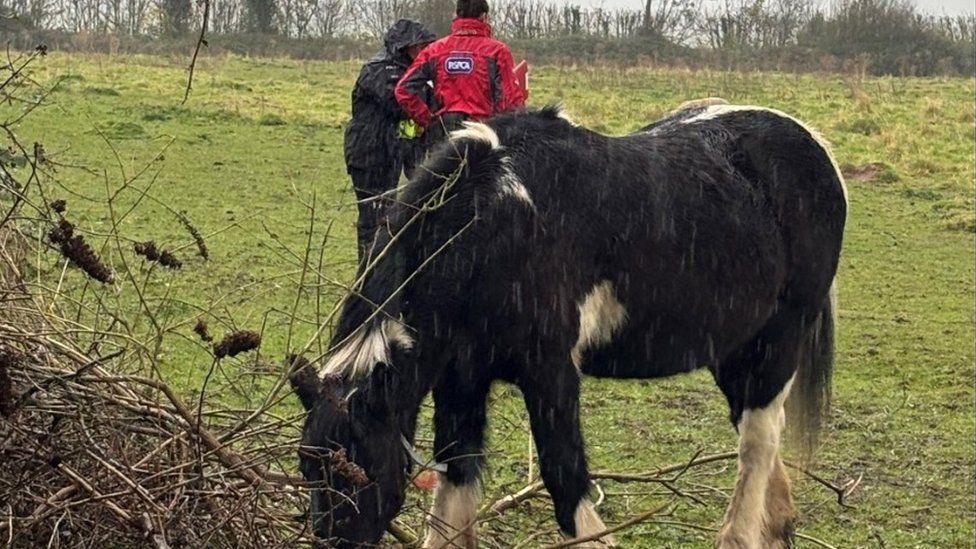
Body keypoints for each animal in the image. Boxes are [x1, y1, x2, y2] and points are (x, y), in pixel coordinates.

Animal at [292, 100, 848, 544]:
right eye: (307, 467)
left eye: (359, 471)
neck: (495, 218)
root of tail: (811, 144)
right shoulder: (462, 379)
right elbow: (456, 487)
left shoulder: (551, 374)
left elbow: (565, 482)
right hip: (732, 351)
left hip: (778, 343)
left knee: (757, 444)